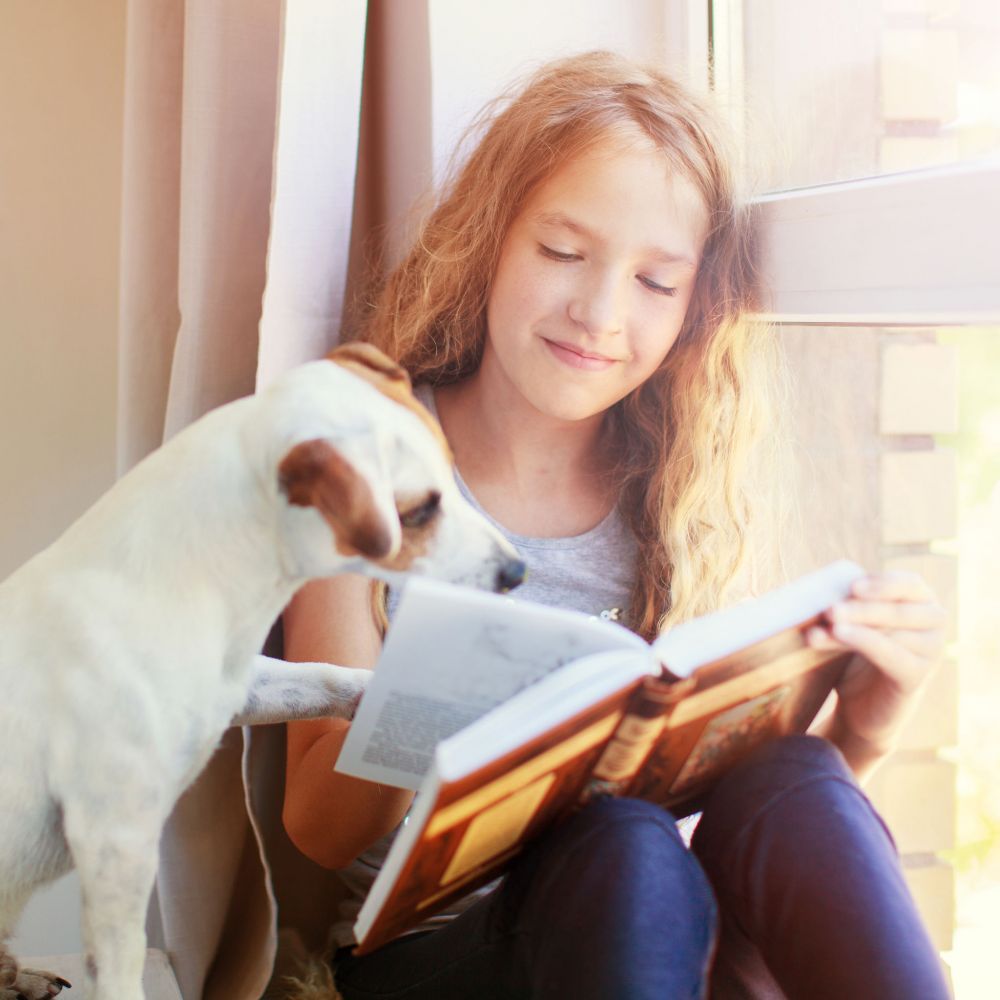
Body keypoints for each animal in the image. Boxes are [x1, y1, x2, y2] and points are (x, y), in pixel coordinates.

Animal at [0, 346, 528, 1000]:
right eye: (417, 512)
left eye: (452, 477)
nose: (516, 572)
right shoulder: (115, 840)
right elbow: (121, 972)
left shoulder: (243, 687)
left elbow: (326, 679)